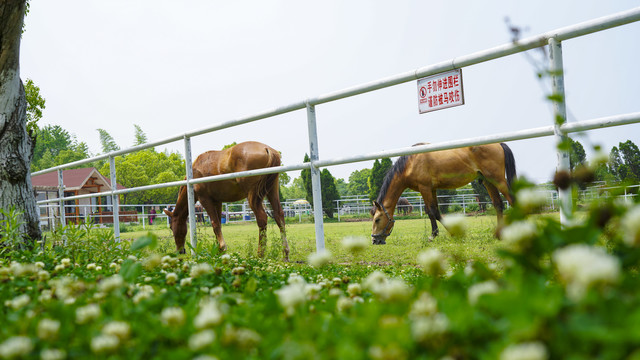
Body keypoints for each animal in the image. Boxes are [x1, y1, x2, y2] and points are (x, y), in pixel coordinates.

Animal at [162, 142, 290, 260]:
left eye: (171, 227)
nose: (180, 251)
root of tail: (267, 149)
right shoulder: (217, 202)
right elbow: (219, 223)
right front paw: (218, 251)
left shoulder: (205, 199)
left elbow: (215, 223)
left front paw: (222, 248)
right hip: (272, 191)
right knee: (279, 215)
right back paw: (285, 254)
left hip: (253, 197)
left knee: (262, 218)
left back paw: (260, 254)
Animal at [370, 143, 516, 245]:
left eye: (377, 219)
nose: (375, 241)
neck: (410, 163)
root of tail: (499, 144)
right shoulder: (432, 189)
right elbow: (437, 212)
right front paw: (452, 233)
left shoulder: (425, 188)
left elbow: (431, 212)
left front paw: (433, 235)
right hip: (488, 181)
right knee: (498, 204)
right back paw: (498, 234)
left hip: (498, 180)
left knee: (512, 200)